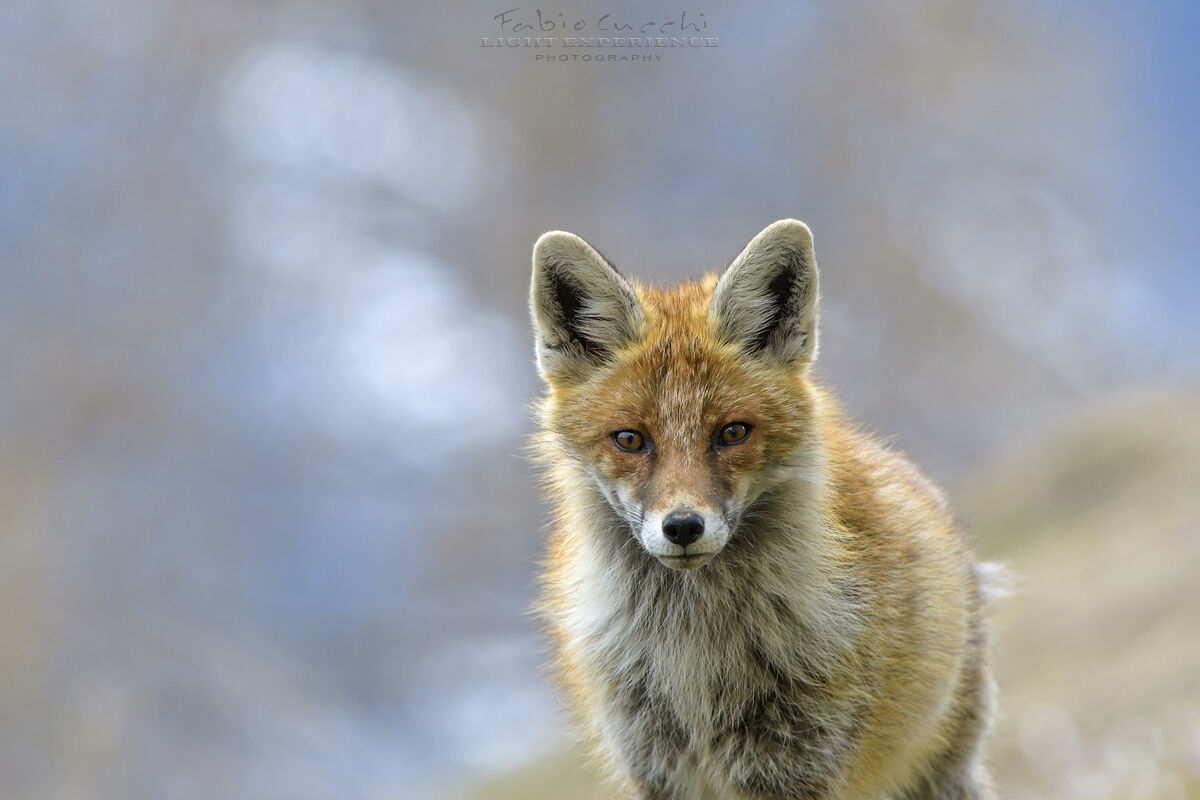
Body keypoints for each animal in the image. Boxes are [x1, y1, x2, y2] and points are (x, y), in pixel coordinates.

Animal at [527, 220, 996, 800]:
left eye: (733, 433)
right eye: (630, 439)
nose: (683, 527)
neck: (694, 650)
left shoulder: (795, 763)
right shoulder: (657, 768)